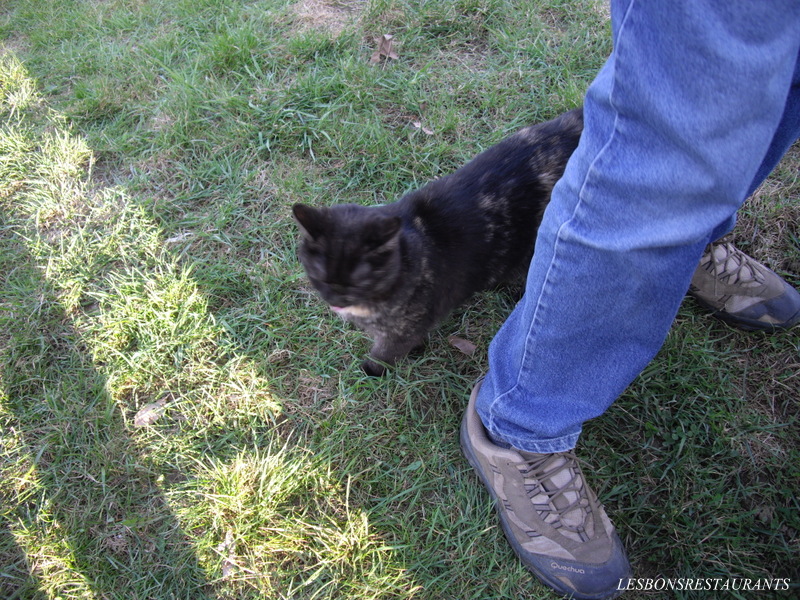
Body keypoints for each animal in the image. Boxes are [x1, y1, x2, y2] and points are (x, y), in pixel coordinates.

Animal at [293, 107, 583, 376]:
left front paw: (370, 371)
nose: (335, 298)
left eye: (359, 282)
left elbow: (384, 354)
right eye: (318, 276)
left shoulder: (399, 333)